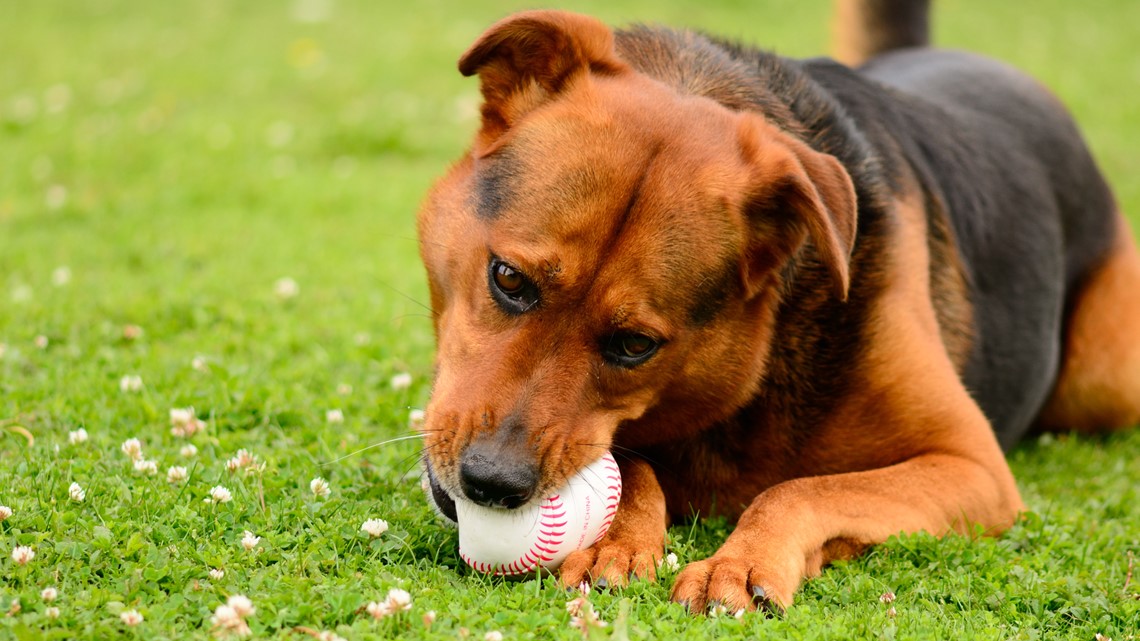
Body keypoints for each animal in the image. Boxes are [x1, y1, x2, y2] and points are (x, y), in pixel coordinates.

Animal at [417, 0, 1140, 606]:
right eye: (510, 280)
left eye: (634, 345)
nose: (492, 484)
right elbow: (631, 459)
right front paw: (614, 535)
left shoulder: (973, 467)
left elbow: (802, 488)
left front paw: (739, 560)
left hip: (1107, 382)